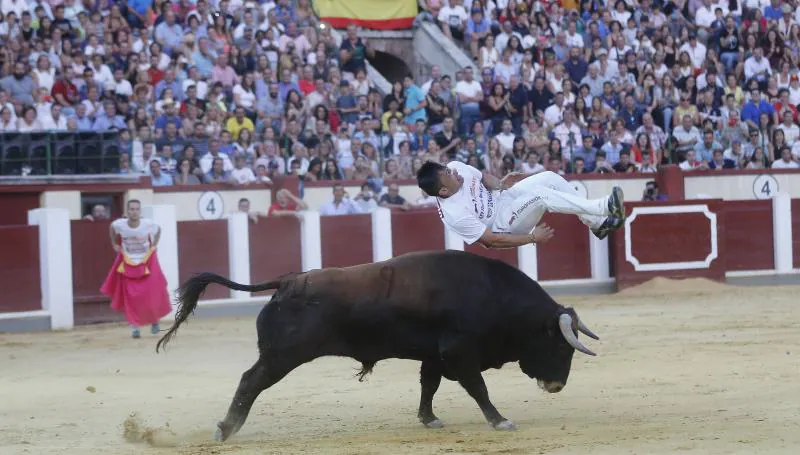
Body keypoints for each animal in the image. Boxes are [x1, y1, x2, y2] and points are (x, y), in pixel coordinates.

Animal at [156, 249, 596, 442]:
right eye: (562, 348)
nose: (557, 385)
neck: (491, 295)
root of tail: (288, 280)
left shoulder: (434, 355)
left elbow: (429, 386)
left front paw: (429, 419)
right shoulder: (458, 352)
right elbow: (478, 388)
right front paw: (500, 420)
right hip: (282, 356)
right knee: (251, 381)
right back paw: (226, 428)